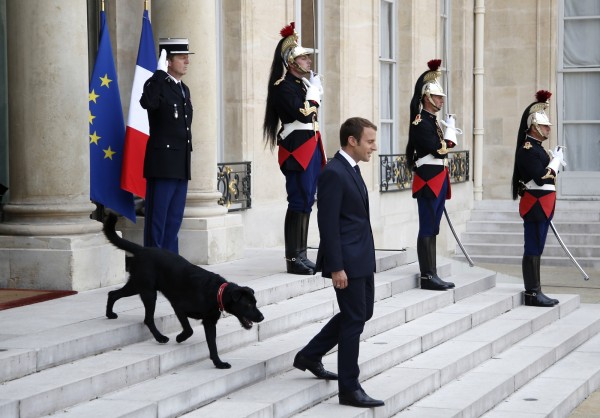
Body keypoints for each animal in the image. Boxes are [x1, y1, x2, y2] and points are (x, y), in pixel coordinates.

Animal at [102, 214, 262, 368]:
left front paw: (218, 363)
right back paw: (160, 337)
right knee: (147, 318)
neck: (216, 292)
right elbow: (189, 330)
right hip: (148, 292)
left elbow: (212, 345)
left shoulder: (209, 322)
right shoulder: (179, 307)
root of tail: (142, 249)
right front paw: (180, 338)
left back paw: (110, 314)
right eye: (248, 305)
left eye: (255, 303)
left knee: (113, 294)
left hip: (137, 285)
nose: (262, 317)